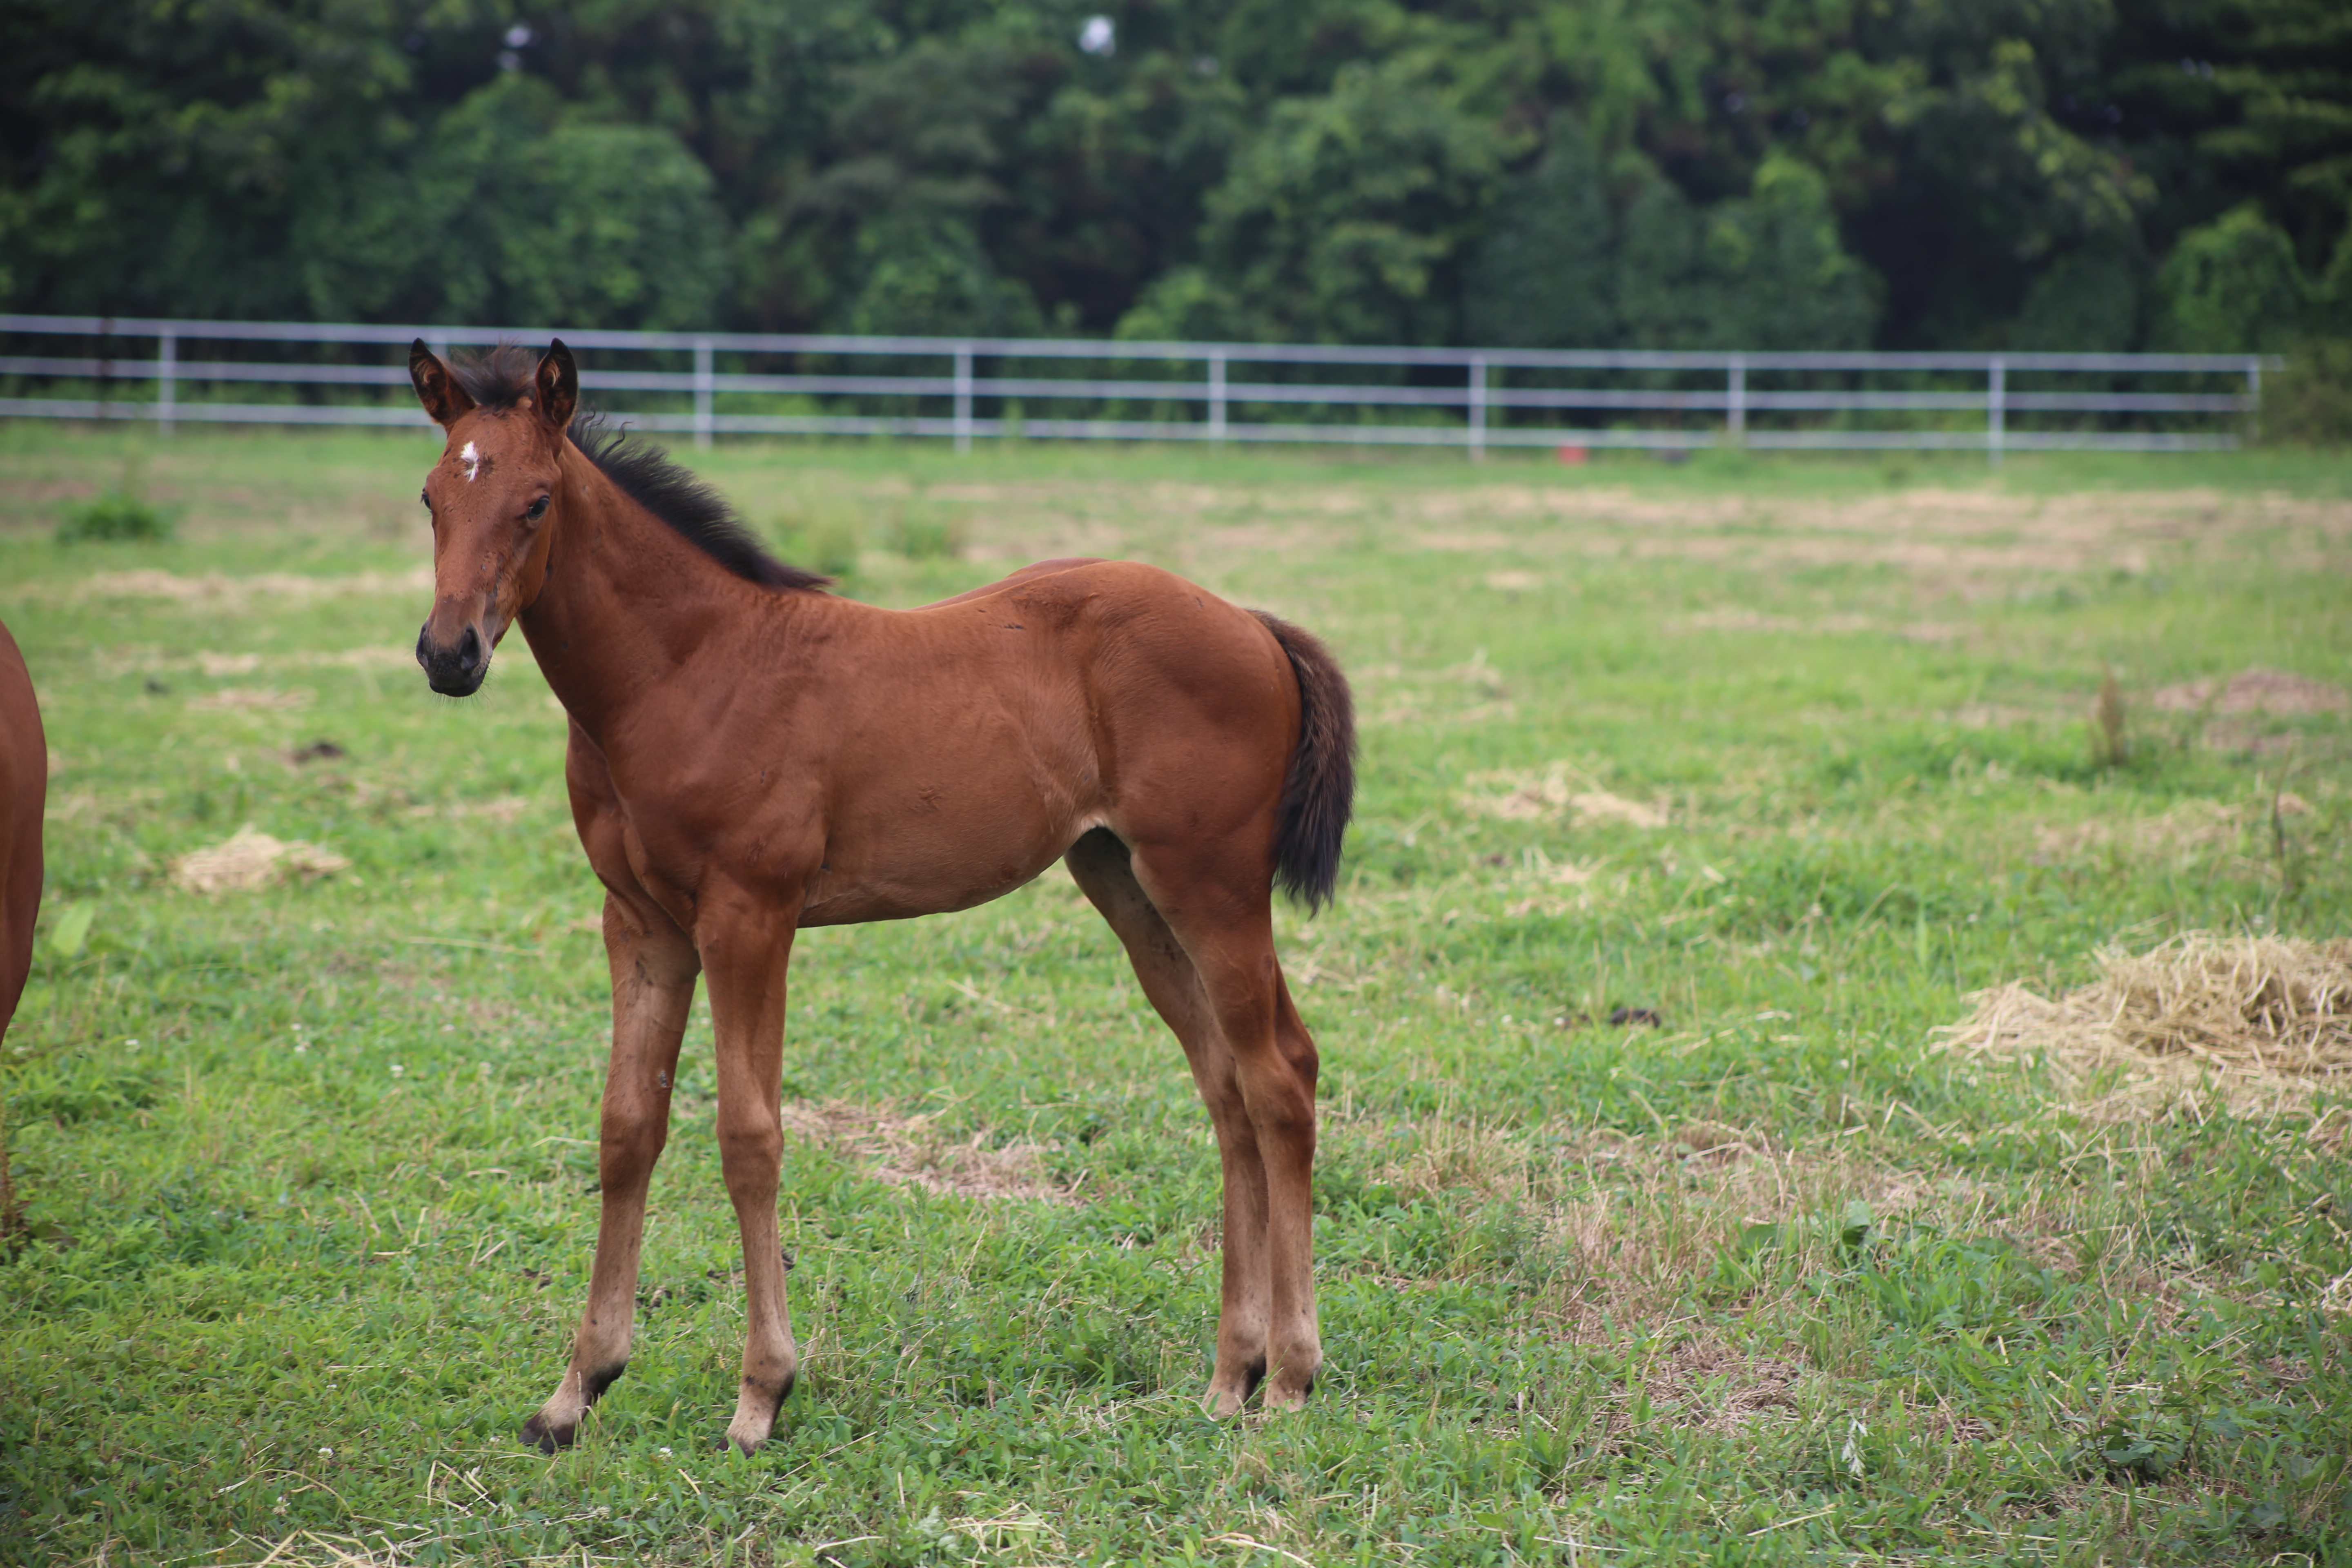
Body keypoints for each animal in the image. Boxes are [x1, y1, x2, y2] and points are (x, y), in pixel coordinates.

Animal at [407, 339, 1364, 1457]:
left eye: (537, 502)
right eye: (432, 496)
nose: (449, 654)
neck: (684, 671)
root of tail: (1251, 622)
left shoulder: (750, 915)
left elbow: (749, 1135)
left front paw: (761, 1396)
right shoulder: (640, 923)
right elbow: (625, 1127)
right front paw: (576, 1390)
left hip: (1210, 884)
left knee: (1278, 1077)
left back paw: (1291, 1376)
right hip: (1126, 884)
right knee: (1226, 1085)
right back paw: (1228, 1376)